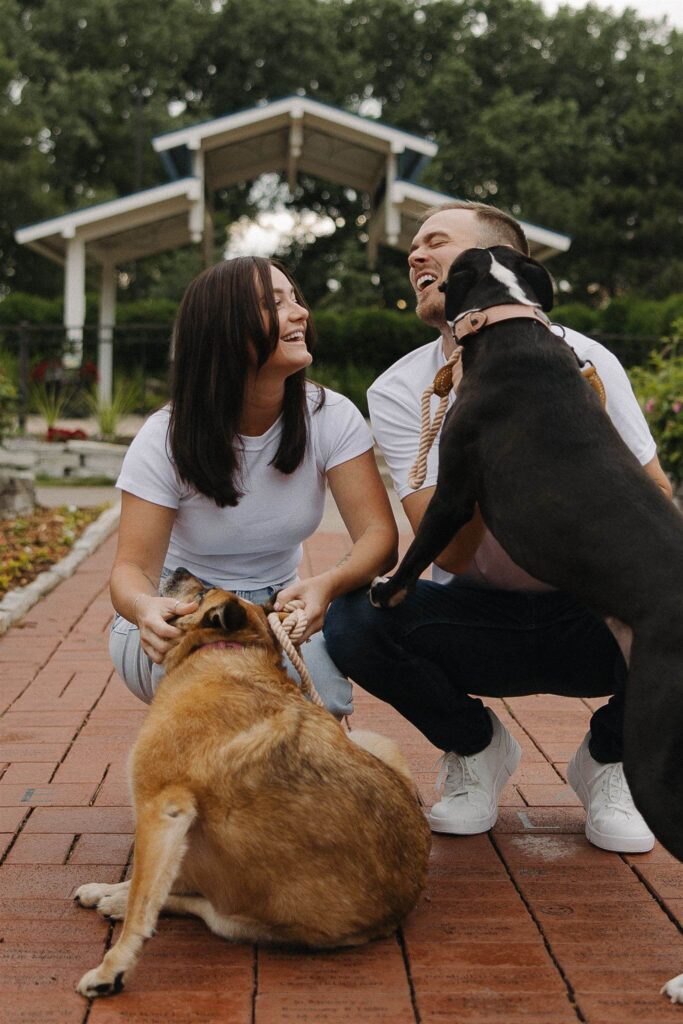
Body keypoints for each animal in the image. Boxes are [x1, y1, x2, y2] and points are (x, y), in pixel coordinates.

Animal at [77, 569, 430, 999]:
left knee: (195, 902)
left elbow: (143, 906)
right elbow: (149, 891)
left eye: (202, 592)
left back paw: (116, 901)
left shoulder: (160, 808)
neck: (231, 650)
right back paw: (108, 893)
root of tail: (401, 906)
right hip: (370, 741)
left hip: (234, 915)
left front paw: (112, 968)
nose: (177, 570)